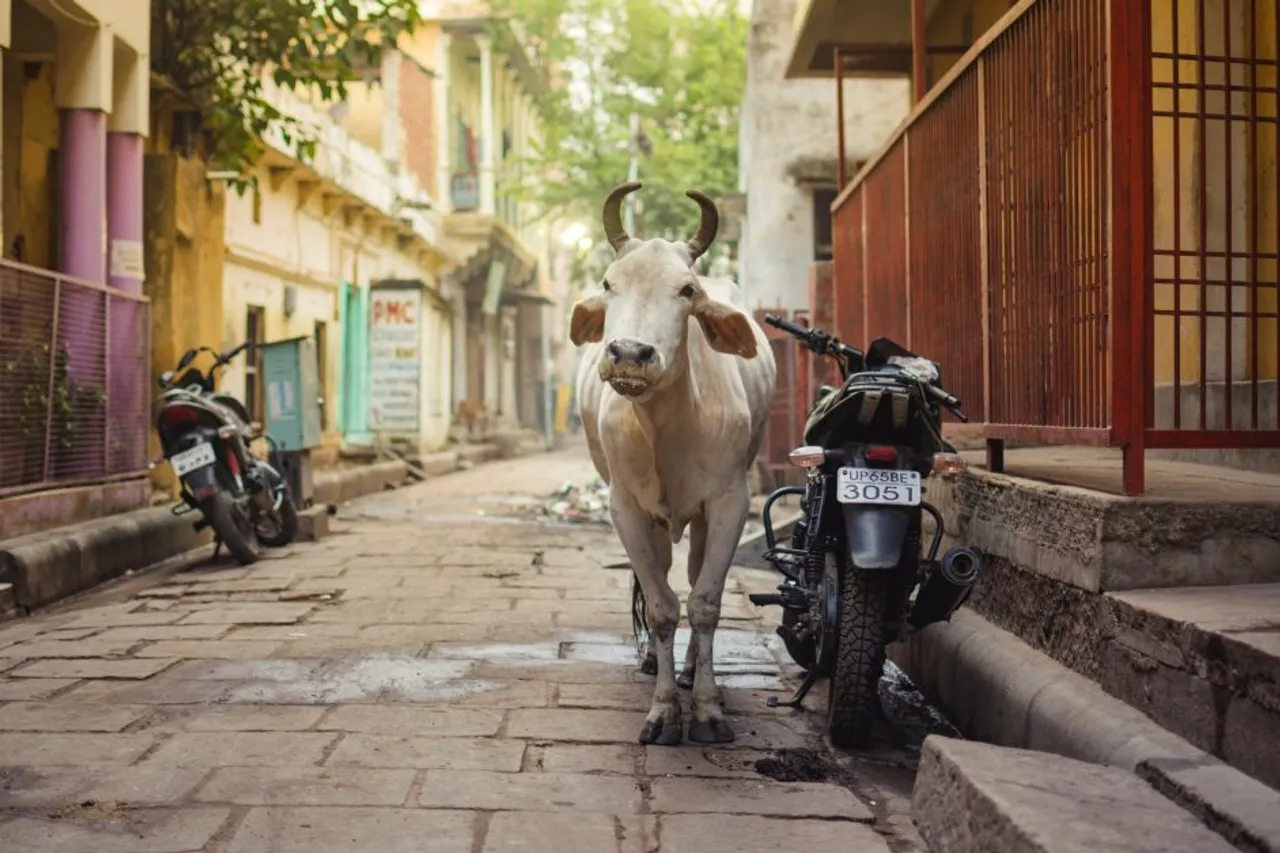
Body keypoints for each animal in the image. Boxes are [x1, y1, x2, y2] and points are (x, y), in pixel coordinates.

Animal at [573, 183, 773, 742]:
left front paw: (705, 708)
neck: (666, 425)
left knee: (694, 571)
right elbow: (662, 605)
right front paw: (664, 710)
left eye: (687, 290)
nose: (629, 354)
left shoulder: (729, 503)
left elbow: (704, 602)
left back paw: (691, 673)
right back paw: (654, 665)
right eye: (608, 283)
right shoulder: (625, 507)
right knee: (659, 576)